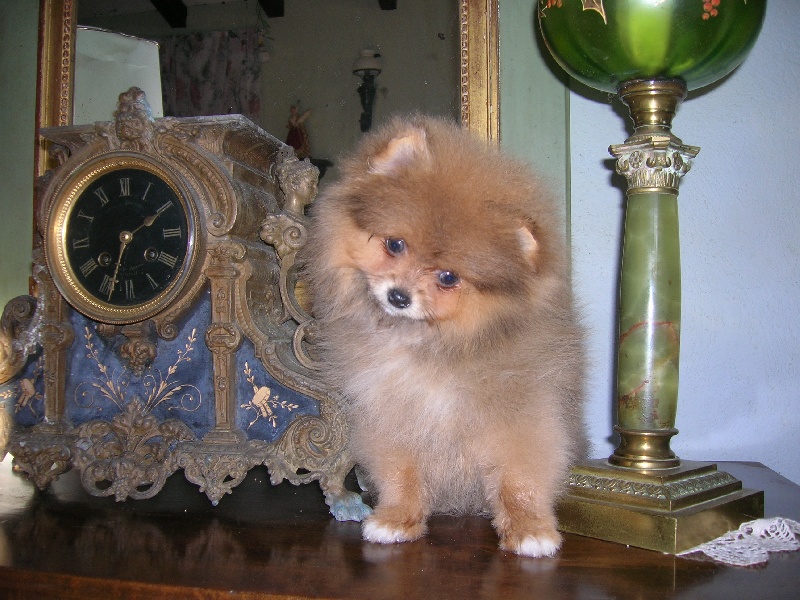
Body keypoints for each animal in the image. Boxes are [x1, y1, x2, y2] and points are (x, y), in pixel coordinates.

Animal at [300, 116, 580, 556]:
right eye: (395, 244)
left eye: (448, 278)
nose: (399, 296)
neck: (431, 347)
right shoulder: (391, 416)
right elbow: (401, 475)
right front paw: (397, 519)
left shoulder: (521, 415)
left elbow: (519, 479)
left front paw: (529, 529)